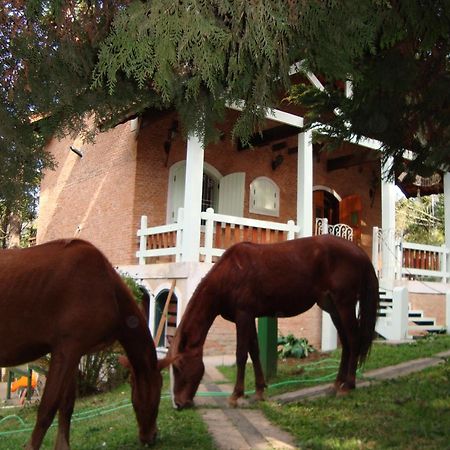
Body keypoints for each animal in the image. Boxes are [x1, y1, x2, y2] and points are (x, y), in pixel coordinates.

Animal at [0, 241, 163, 450]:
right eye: (158, 389)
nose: (152, 435)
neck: (108, 289)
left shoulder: (75, 352)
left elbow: (67, 406)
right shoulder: (66, 350)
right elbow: (47, 408)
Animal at [165, 236, 380, 408]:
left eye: (178, 367)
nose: (179, 404)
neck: (231, 273)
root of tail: (360, 252)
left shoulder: (243, 316)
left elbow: (241, 354)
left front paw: (236, 395)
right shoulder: (248, 317)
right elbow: (254, 351)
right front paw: (259, 391)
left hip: (344, 304)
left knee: (354, 340)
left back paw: (348, 385)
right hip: (332, 307)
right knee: (346, 343)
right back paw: (336, 383)